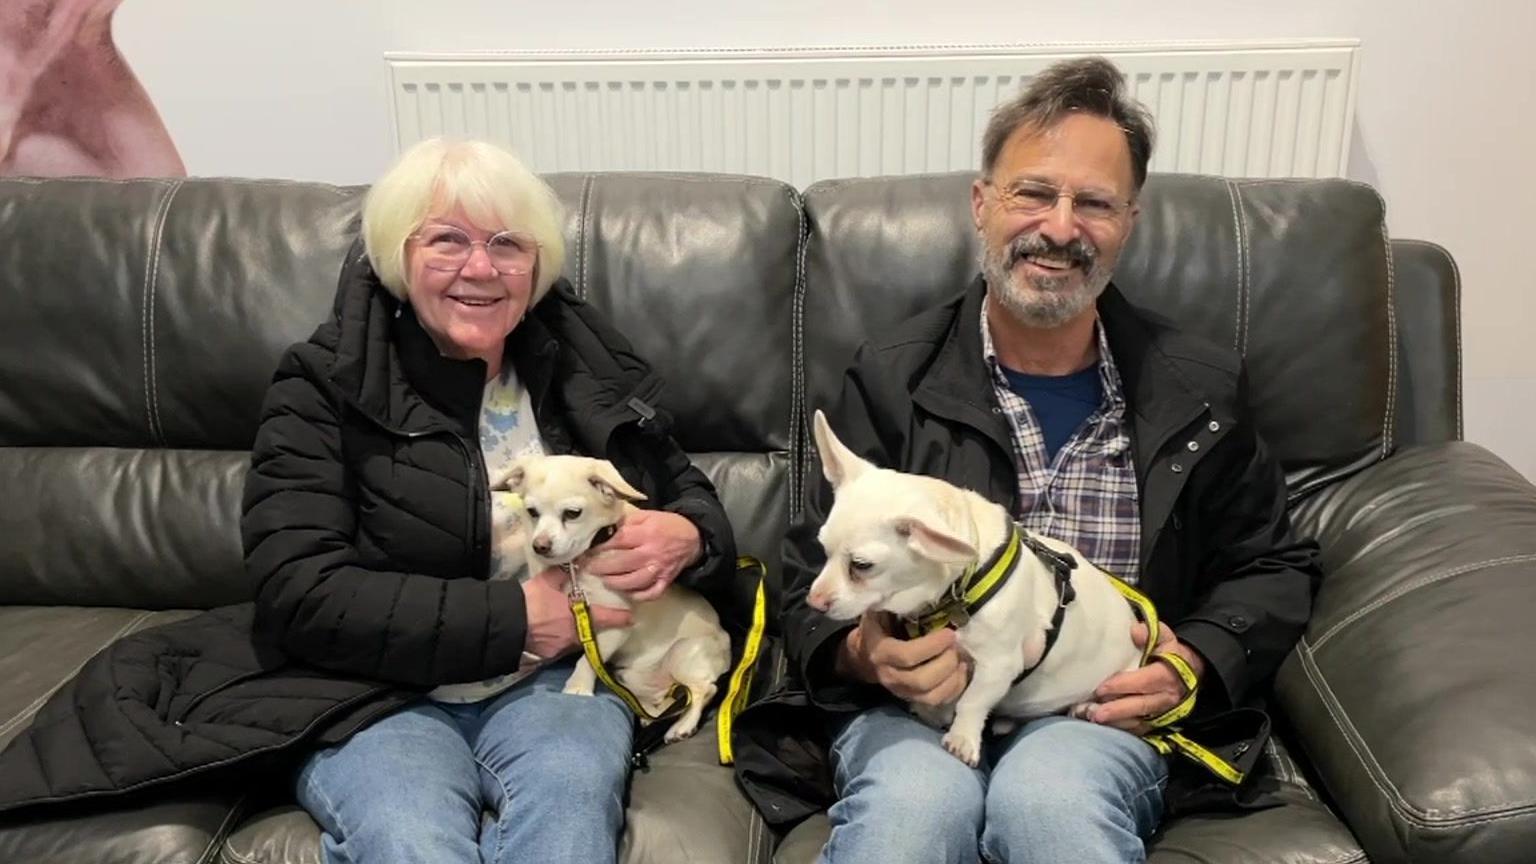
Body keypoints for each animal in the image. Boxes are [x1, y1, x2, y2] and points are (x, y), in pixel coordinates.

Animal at [494, 451, 728, 741]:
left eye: (572, 514)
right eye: (532, 512)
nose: (541, 546)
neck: (572, 567)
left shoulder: (613, 627)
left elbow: (587, 660)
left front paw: (578, 686)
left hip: (681, 653)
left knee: (704, 689)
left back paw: (683, 725)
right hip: (629, 676)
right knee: (665, 698)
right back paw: (651, 715)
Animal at [804, 408, 1142, 759]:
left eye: (862, 566)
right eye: (823, 549)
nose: (814, 601)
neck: (954, 590)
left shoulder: (999, 664)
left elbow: (972, 701)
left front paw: (963, 737)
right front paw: (934, 712)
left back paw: (1086, 707)